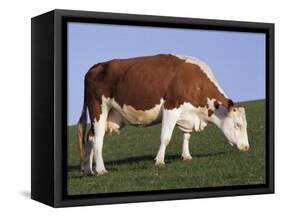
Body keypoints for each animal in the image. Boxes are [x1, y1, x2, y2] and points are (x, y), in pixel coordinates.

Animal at [76, 53, 249, 176]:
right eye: (238, 125)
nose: (246, 147)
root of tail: (97, 66)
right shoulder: (171, 108)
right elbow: (165, 137)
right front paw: (159, 161)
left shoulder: (188, 114)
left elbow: (187, 136)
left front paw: (186, 156)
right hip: (98, 110)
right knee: (98, 140)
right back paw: (101, 170)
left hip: (111, 116)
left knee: (90, 137)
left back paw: (88, 170)